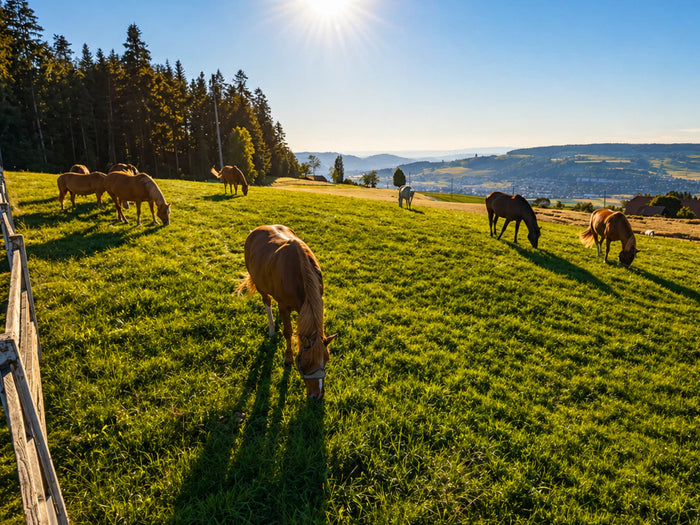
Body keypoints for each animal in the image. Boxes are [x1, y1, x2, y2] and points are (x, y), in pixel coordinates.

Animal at [237, 225, 337, 399]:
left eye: (327, 359)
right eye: (306, 362)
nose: (317, 395)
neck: (299, 274)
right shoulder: (283, 306)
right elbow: (288, 332)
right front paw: (288, 357)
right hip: (260, 285)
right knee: (267, 302)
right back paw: (271, 328)